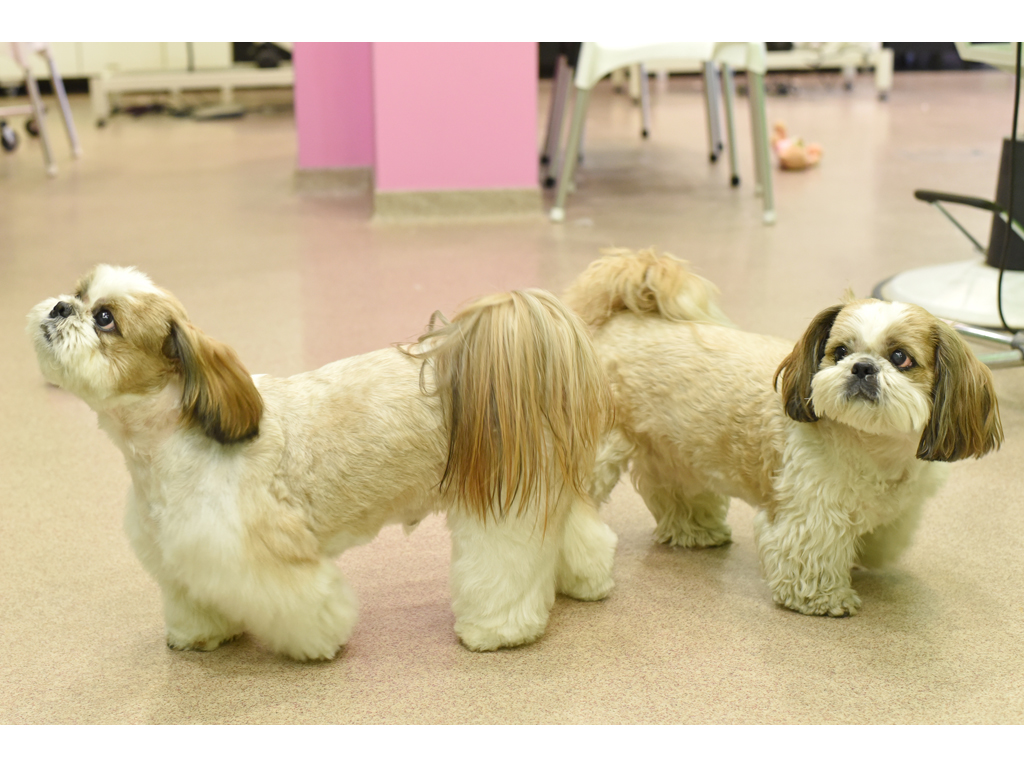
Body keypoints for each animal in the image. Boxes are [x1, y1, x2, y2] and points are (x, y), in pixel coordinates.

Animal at [29, 265, 617, 659]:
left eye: (106, 318)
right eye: (79, 294)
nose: (60, 308)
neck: (167, 445)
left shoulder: (261, 557)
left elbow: (303, 603)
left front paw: (316, 643)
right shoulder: (183, 556)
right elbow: (196, 601)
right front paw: (201, 636)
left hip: (496, 503)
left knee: (505, 565)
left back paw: (498, 631)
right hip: (537, 482)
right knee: (578, 532)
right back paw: (587, 582)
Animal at [564, 249, 1002, 617]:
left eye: (900, 357)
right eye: (840, 352)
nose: (862, 367)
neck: (873, 446)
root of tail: (622, 320)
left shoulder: (902, 507)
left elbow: (883, 538)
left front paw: (867, 555)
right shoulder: (811, 511)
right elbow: (812, 554)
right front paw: (824, 599)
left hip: (675, 449)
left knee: (675, 491)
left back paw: (695, 531)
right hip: (596, 453)